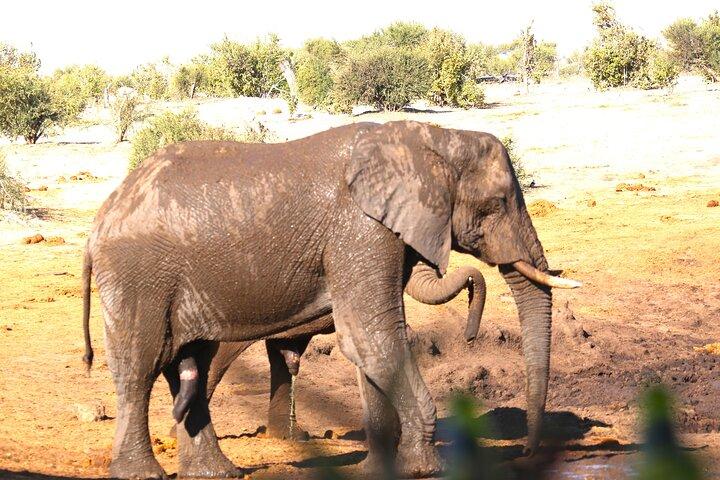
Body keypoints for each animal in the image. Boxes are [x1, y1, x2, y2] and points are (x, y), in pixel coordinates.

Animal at [81, 120, 580, 479]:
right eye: (496, 205)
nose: (526, 454)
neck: (431, 138)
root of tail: (101, 217)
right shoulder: (360, 231)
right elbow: (370, 337)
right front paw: (425, 469)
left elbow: (370, 344)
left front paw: (380, 470)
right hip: (137, 276)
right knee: (140, 367)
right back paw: (142, 474)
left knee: (191, 366)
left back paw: (219, 472)